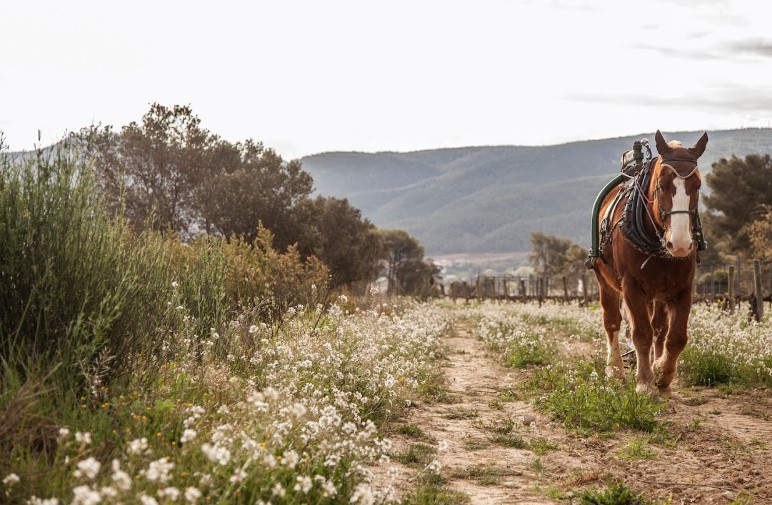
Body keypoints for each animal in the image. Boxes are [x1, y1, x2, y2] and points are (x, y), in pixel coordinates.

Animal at [592, 129, 712, 394]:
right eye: (661, 185)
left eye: (698, 185)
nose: (680, 243)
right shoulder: (632, 287)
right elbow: (641, 334)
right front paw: (645, 383)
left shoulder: (682, 288)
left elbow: (675, 337)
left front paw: (662, 374)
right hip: (606, 283)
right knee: (612, 323)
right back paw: (615, 370)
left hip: (658, 292)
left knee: (659, 327)